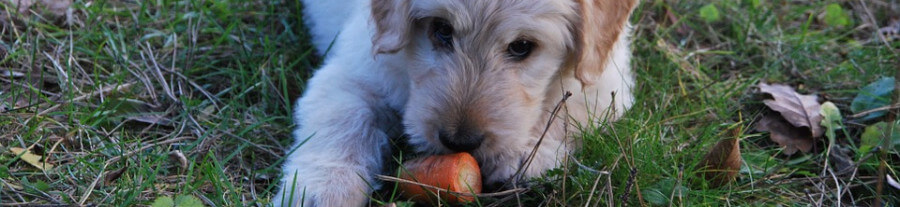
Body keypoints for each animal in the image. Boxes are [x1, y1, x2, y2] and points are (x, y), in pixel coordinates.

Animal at [276, 0, 640, 205]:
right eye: (441, 29)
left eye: (522, 46)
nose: (459, 142)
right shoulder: (351, 74)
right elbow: (341, 125)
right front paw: (323, 191)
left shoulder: (607, 79)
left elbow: (568, 108)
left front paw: (525, 155)